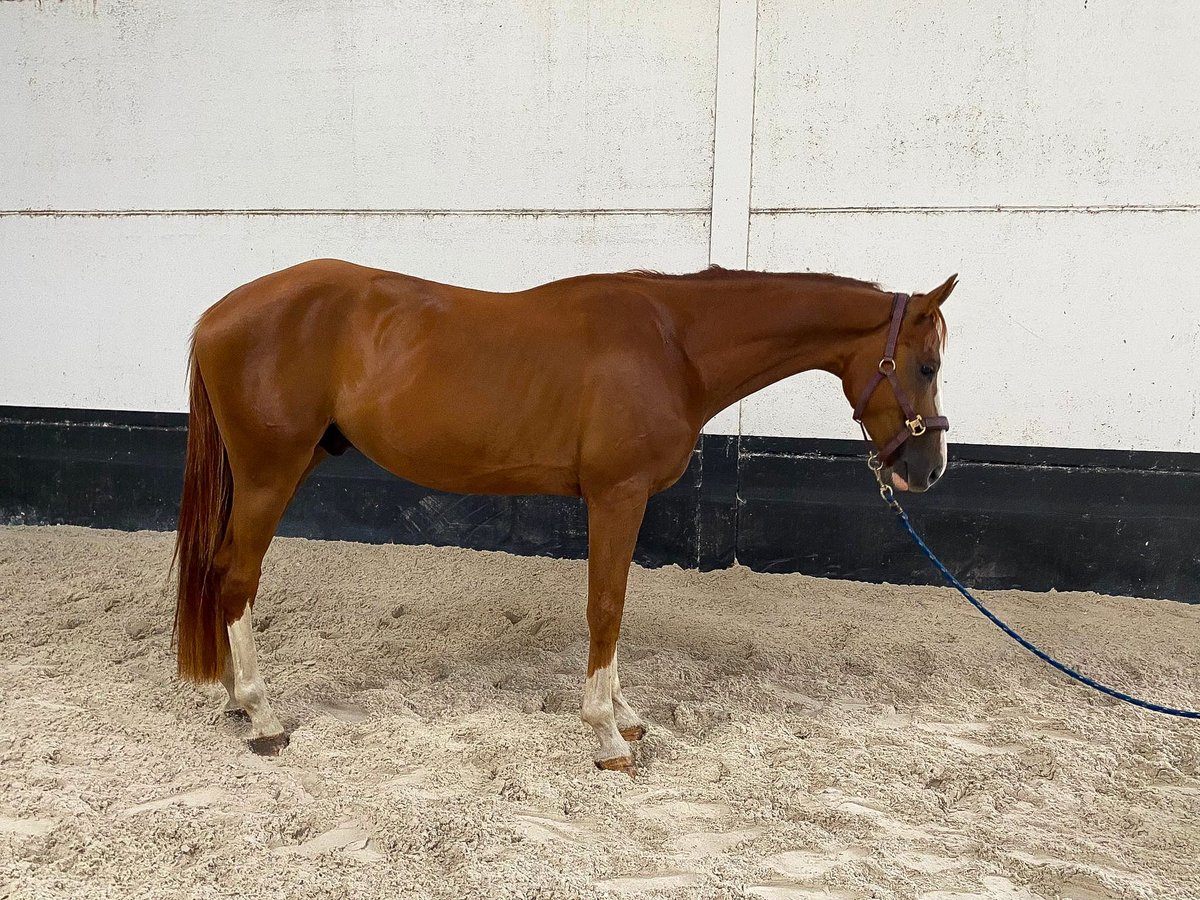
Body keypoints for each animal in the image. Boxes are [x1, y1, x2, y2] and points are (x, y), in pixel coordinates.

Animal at [171, 260, 955, 777]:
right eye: (926, 364)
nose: (928, 470)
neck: (673, 344)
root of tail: (215, 316)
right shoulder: (617, 496)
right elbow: (605, 607)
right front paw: (605, 734)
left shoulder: (623, 500)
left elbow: (615, 606)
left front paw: (627, 716)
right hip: (271, 472)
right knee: (238, 577)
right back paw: (262, 717)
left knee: (222, 570)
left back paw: (234, 701)